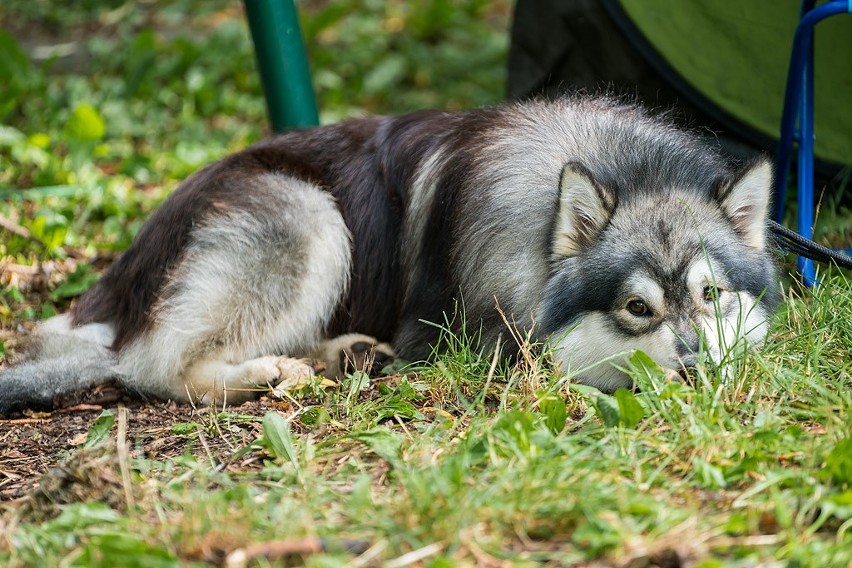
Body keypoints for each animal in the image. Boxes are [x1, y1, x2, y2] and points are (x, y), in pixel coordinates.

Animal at [0, 95, 780, 410]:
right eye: (636, 309)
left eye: (712, 295)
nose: (700, 371)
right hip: (310, 218)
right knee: (150, 366)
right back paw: (262, 374)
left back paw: (335, 356)